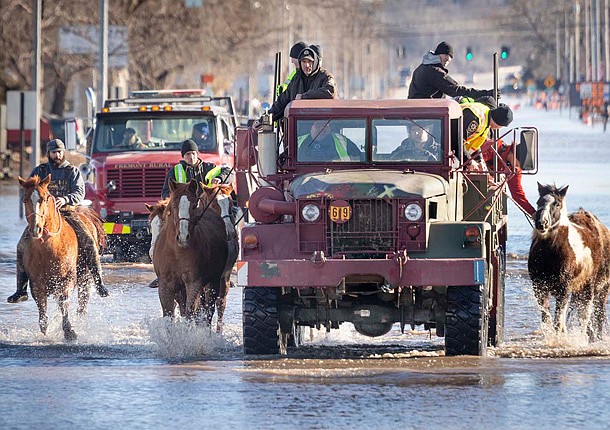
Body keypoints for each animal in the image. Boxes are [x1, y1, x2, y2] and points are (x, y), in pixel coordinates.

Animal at [151, 178, 228, 330]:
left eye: (193, 206)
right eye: (174, 205)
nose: (183, 236)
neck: (176, 252)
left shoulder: (194, 283)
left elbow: (190, 313)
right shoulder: (165, 285)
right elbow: (169, 315)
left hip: (214, 281)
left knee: (209, 311)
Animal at [524, 182, 608, 340]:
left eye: (556, 204)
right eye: (538, 202)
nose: (541, 224)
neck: (550, 253)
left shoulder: (564, 289)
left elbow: (559, 321)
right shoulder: (539, 287)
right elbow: (547, 318)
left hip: (593, 288)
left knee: (590, 316)